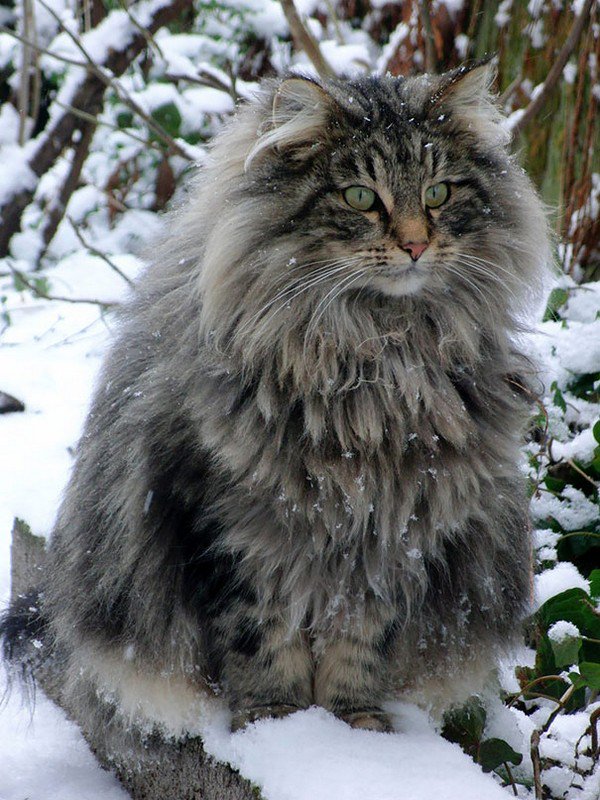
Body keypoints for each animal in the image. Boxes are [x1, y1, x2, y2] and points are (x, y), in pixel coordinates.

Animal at [2, 57, 552, 744]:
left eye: (438, 194)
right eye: (360, 197)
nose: (416, 245)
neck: (376, 359)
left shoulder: (393, 531)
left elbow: (359, 644)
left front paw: (354, 727)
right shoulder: (232, 527)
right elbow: (261, 641)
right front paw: (278, 727)